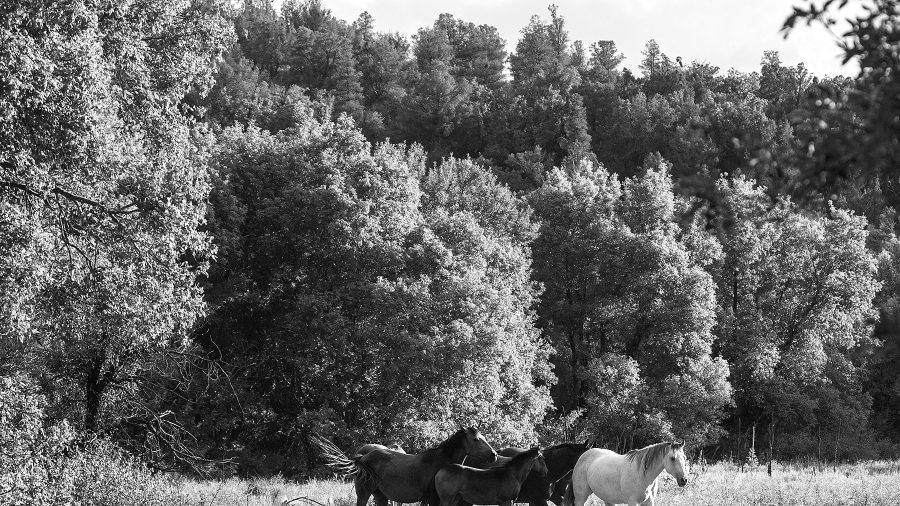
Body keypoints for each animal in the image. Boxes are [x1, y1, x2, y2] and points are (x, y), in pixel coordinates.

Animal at [312, 427, 497, 506]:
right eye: (476, 439)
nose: (494, 455)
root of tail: (363, 458)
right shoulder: (431, 499)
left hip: (381, 496)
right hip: (364, 494)